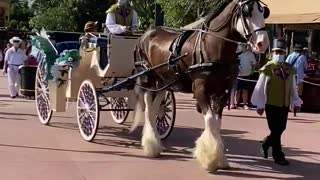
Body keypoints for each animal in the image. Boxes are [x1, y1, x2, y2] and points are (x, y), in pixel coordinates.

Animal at [131, 0, 270, 172]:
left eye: (263, 12)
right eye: (247, 12)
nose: (263, 43)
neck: (213, 47)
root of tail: (146, 34)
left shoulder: (222, 92)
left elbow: (217, 122)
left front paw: (220, 158)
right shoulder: (200, 91)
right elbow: (210, 120)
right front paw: (210, 159)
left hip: (163, 83)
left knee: (156, 109)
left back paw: (155, 143)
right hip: (148, 79)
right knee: (149, 108)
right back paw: (151, 146)